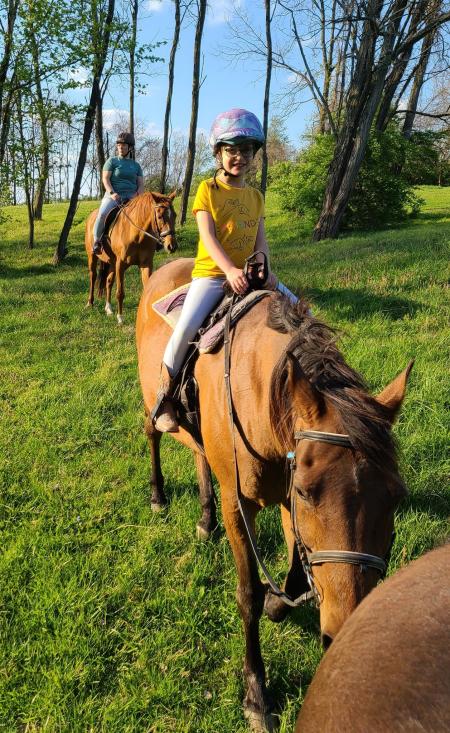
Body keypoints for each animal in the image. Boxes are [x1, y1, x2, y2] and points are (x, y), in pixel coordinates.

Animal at [85, 192, 177, 324]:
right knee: (93, 277)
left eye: (174, 215)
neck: (137, 234)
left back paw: (108, 309)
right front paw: (120, 318)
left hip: (112, 262)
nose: (172, 246)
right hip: (92, 256)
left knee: (108, 281)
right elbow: (120, 292)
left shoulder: (146, 264)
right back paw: (90, 303)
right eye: (160, 216)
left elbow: (147, 288)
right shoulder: (120, 264)